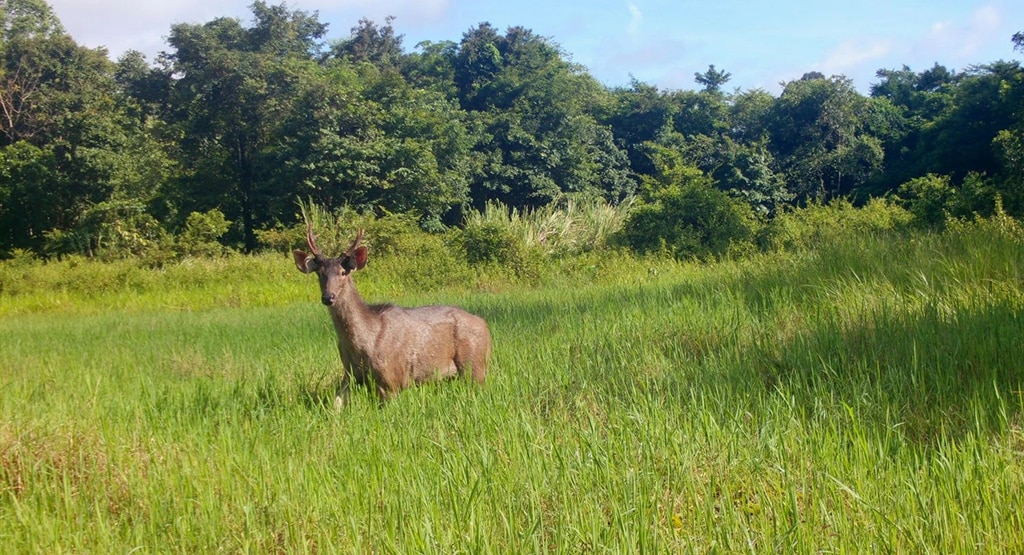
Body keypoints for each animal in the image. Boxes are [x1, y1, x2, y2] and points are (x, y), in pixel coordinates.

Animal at [292, 226, 491, 409]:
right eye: (320, 273)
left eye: (343, 272)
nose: (328, 297)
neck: (363, 342)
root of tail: (484, 325)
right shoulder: (349, 375)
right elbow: (335, 406)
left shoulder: (392, 379)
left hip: (474, 363)